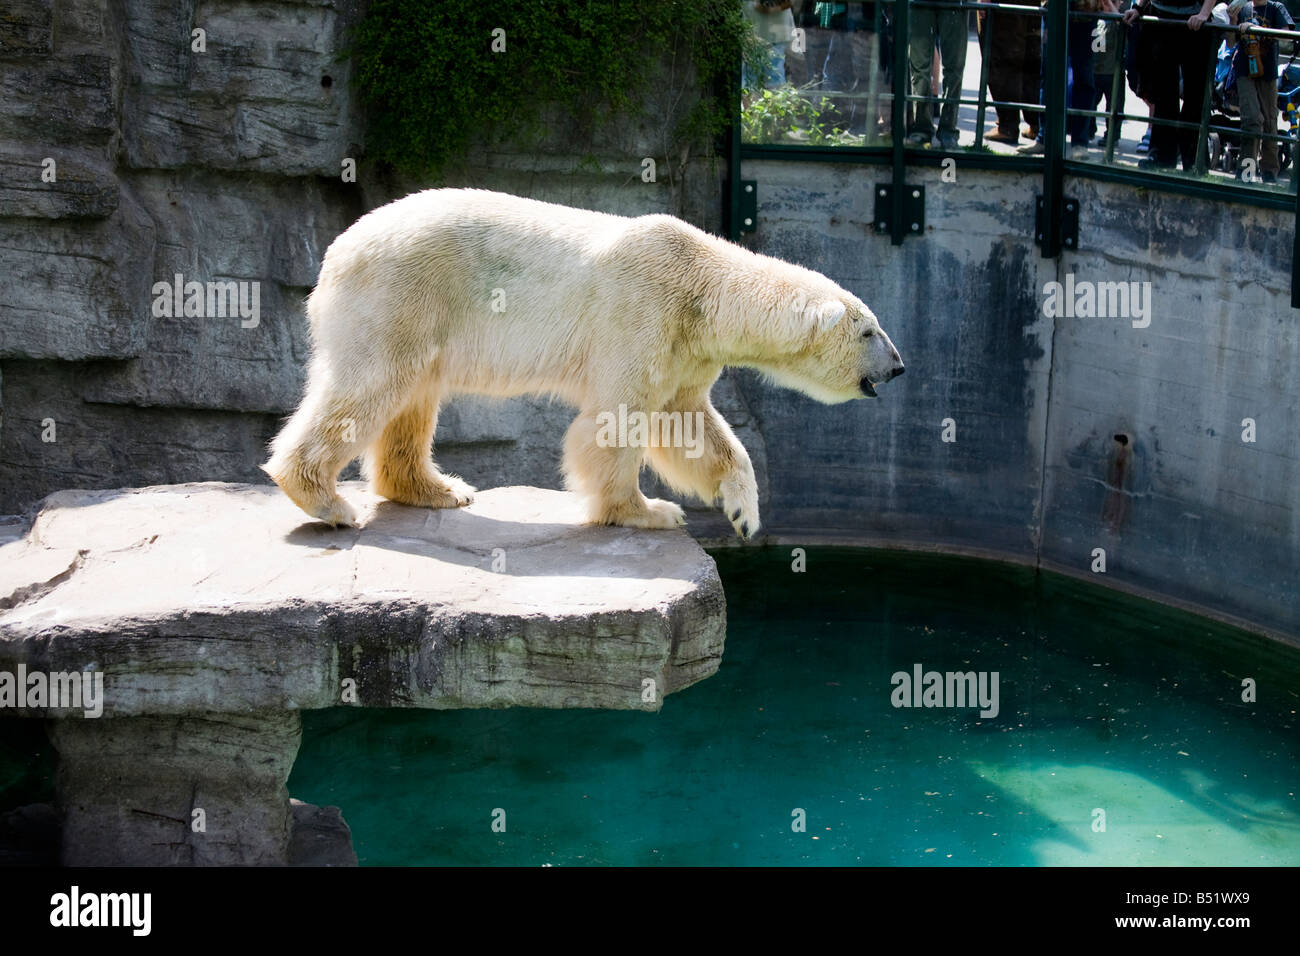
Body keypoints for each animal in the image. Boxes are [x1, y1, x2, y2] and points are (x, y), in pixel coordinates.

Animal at [258, 187, 899, 538]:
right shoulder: (640, 313)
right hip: (401, 294)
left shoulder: (686, 348)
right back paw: (327, 500)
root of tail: (336, 252)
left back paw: (441, 489)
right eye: (870, 329)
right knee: (370, 388)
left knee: (412, 401)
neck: (700, 283)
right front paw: (648, 511)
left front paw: (744, 511)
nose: (898, 367)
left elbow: (688, 423)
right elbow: (616, 423)